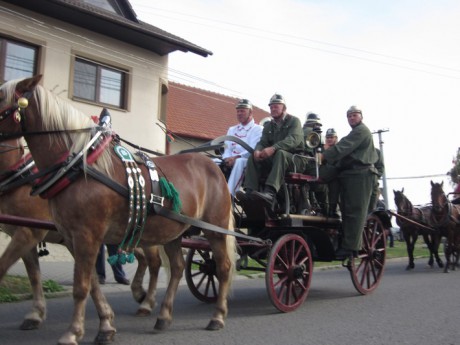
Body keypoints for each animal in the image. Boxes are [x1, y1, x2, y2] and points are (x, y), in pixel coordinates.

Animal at [0, 137, 164, 328]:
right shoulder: (26, 235)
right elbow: (34, 275)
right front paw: (36, 314)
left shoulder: (29, 232)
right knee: (143, 258)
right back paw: (139, 293)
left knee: (154, 262)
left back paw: (147, 302)